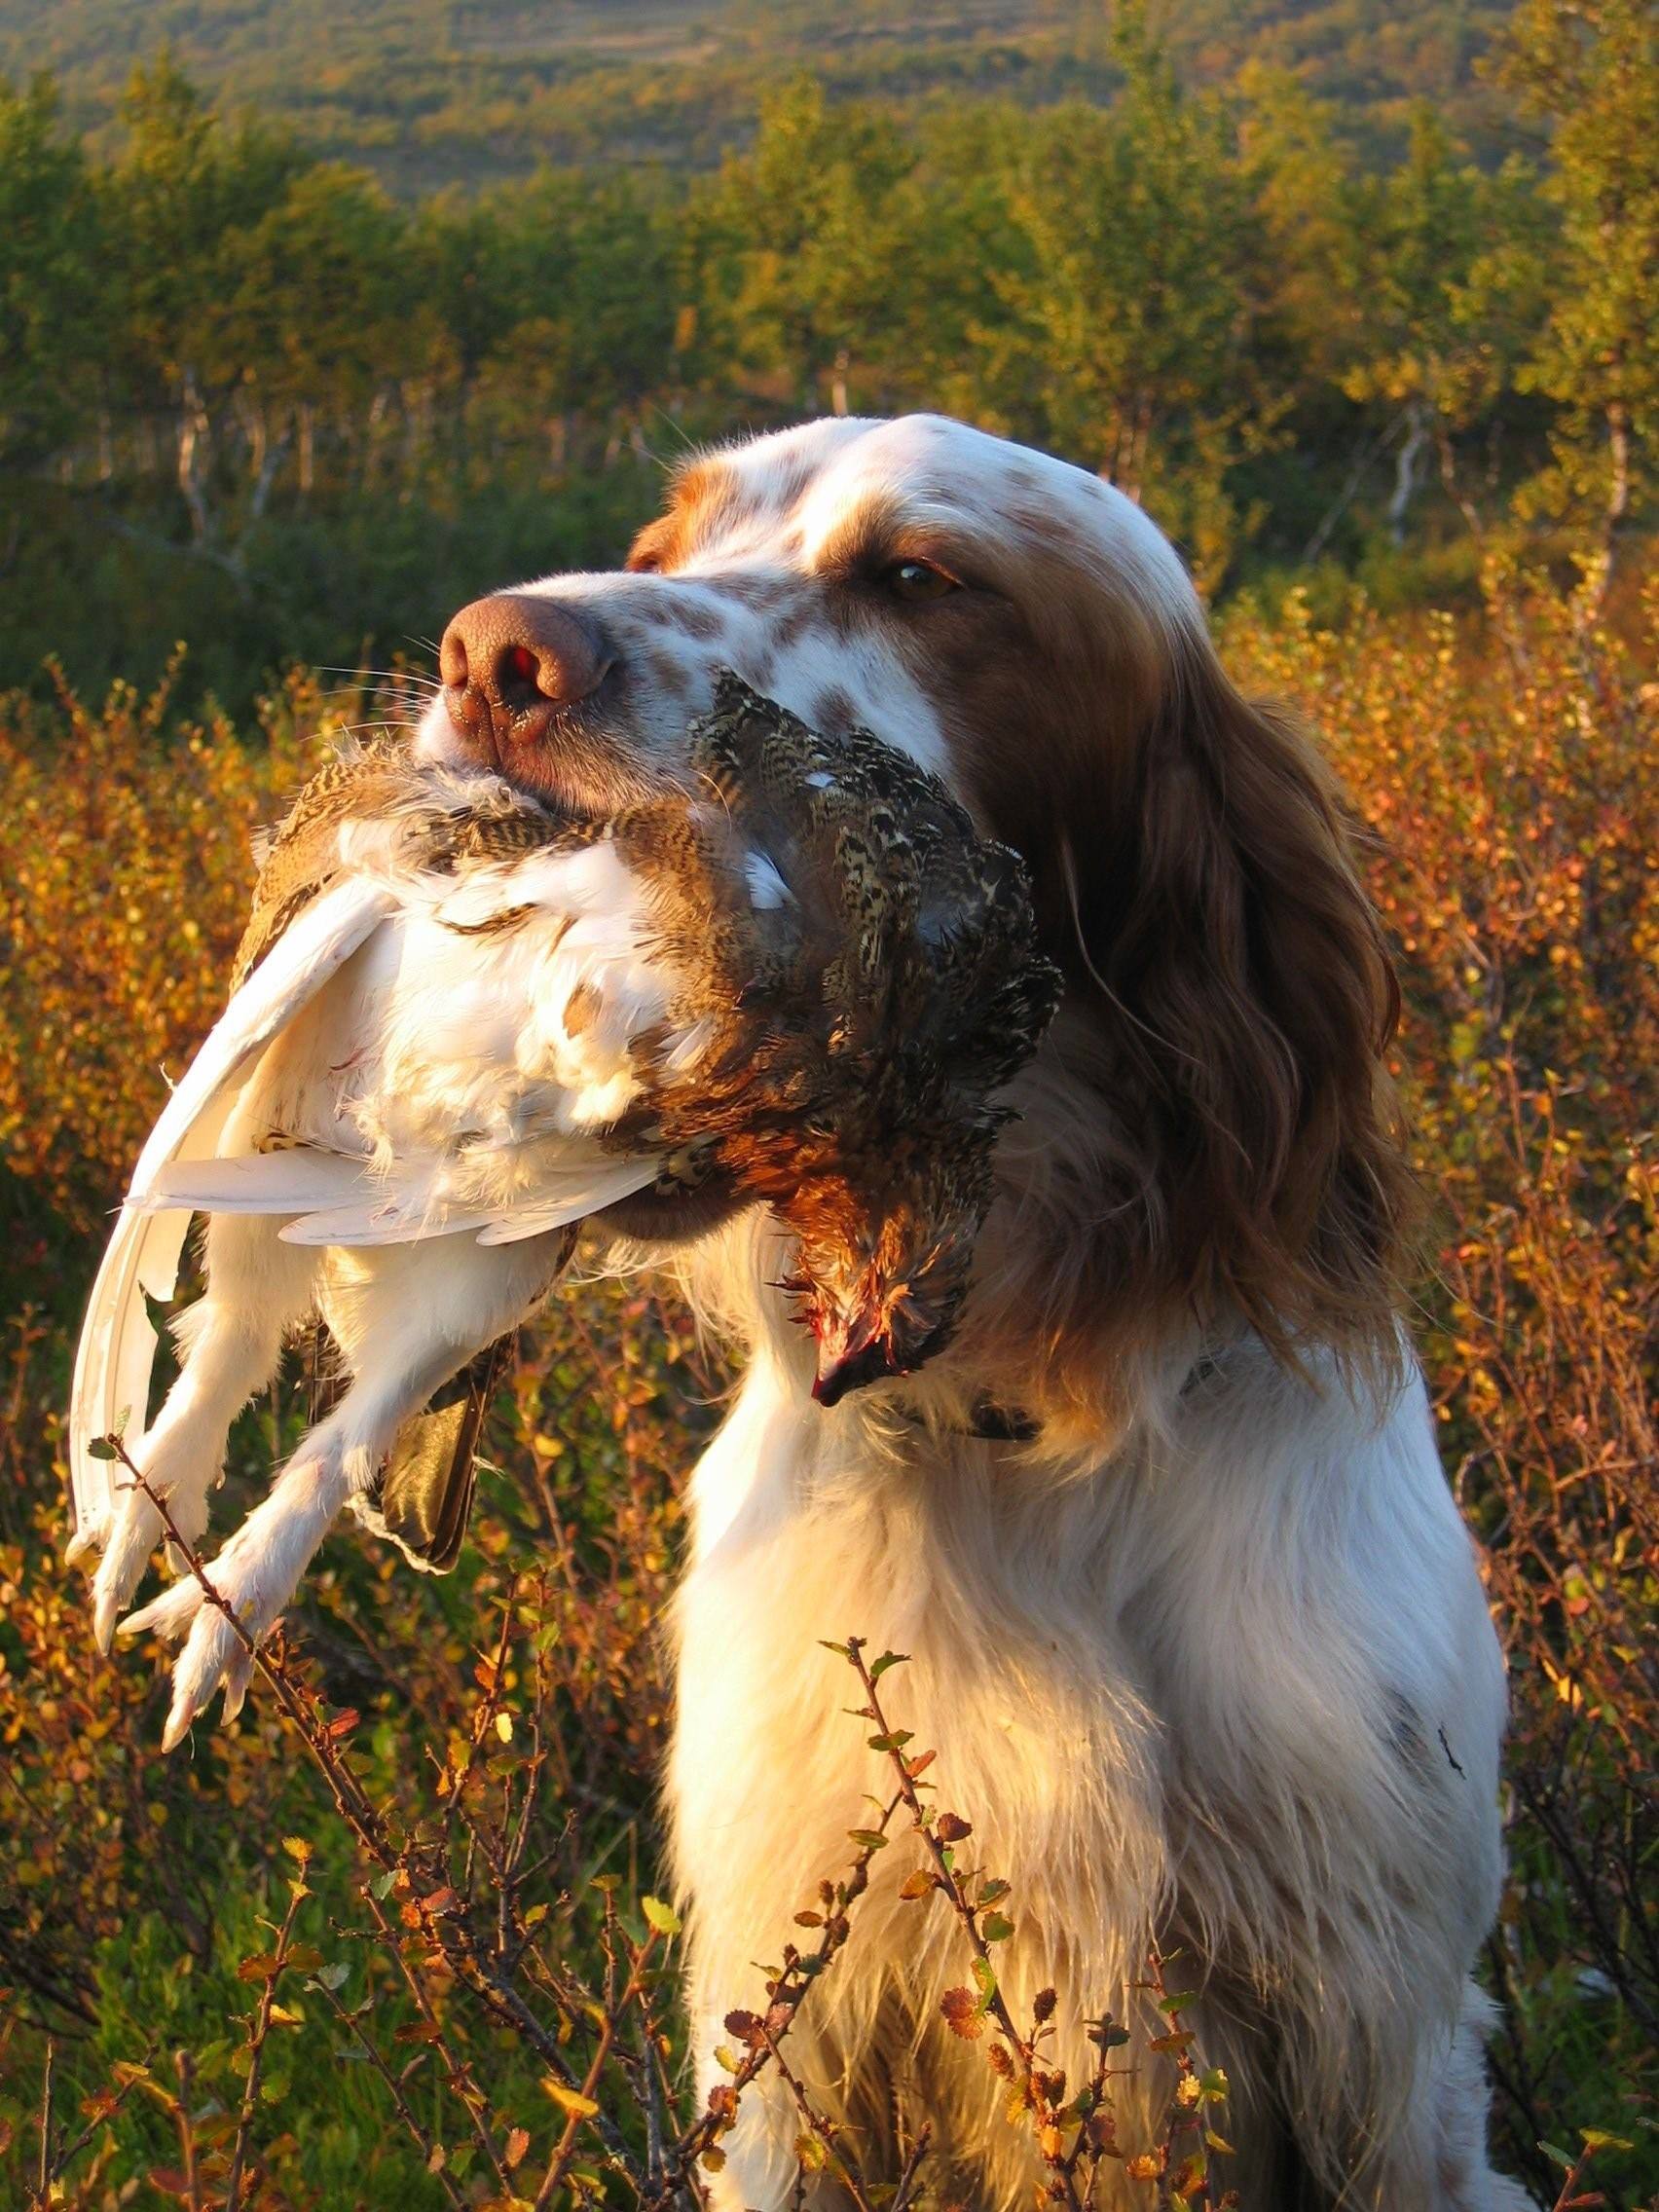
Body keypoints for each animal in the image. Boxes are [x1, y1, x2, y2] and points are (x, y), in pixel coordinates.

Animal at [413, 418, 1522, 2212]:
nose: (491, 657)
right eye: (661, 545)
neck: (1029, 1410)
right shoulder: (783, 2018)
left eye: (921, 577)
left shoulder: (1379, 2023)